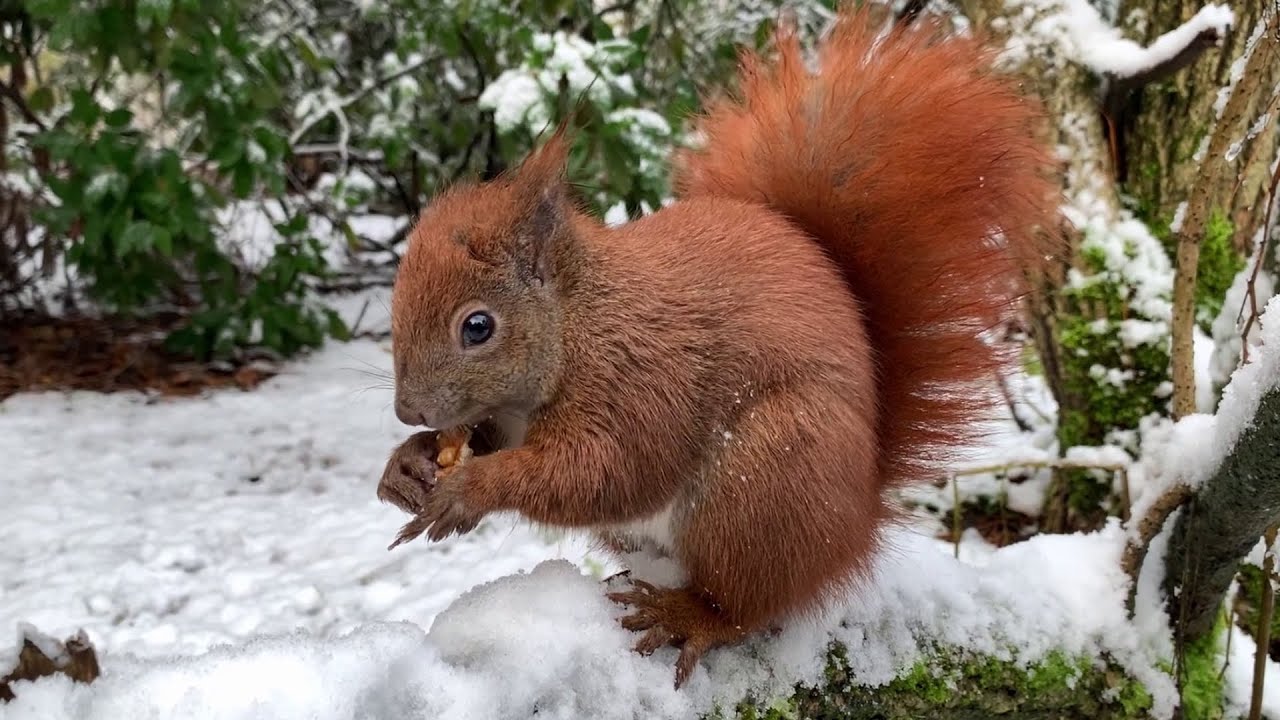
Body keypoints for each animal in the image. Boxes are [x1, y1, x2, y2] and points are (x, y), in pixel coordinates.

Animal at [377, 4, 1060, 689]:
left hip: (763, 480)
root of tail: (859, 519)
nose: (408, 410)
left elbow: (603, 471)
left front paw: (471, 488)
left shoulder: (641, 378)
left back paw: (687, 615)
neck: (577, 323)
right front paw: (409, 464)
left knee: (743, 605)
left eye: (478, 326)